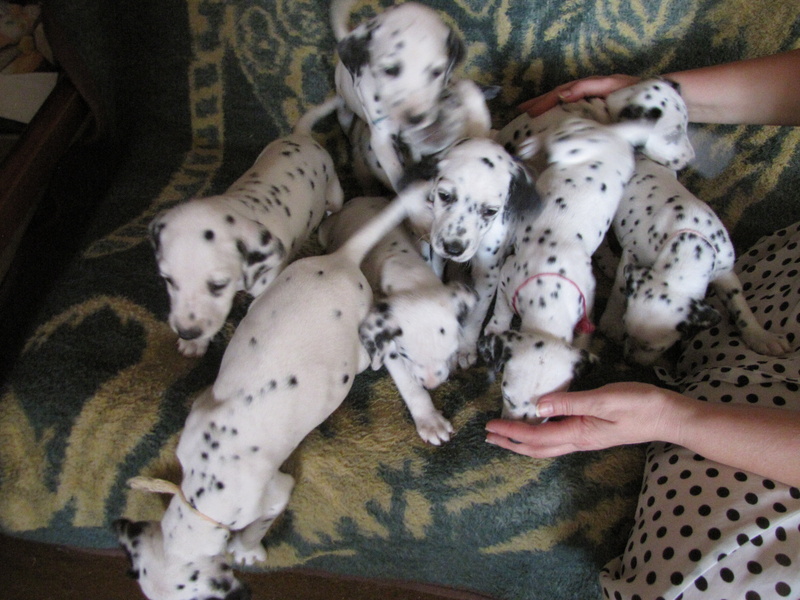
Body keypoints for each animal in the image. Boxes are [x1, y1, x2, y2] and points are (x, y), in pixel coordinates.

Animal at [115, 189, 422, 600]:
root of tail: (340, 259)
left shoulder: (276, 493)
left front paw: (247, 549)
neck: (204, 488)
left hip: (353, 345)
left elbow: (257, 526)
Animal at [149, 105, 344, 357]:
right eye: (168, 280)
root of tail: (301, 136)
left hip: (335, 193)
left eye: (218, 285)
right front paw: (196, 342)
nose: (187, 332)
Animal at [319, 196, 477, 445]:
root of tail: (360, 198)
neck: (407, 272)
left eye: (451, 351)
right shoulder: (386, 344)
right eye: (405, 355)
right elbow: (408, 383)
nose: (431, 384)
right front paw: (429, 420)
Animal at [331, 0, 466, 191]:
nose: (415, 119)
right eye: (390, 70)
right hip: (344, 110)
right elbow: (396, 173)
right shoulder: (382, 139)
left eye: (436, 72)